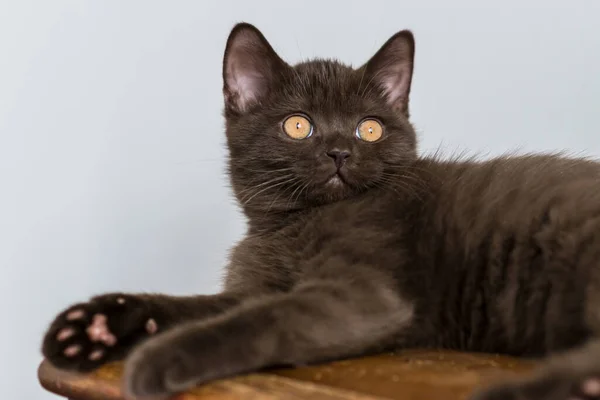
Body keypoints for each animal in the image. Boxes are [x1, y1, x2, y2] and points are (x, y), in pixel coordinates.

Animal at [41, 22, 600, 400]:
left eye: (369, 128)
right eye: (298, 125)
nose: (339, 152)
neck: (286, 227)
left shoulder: (365, 295)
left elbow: (266, 318)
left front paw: (163, 356)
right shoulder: (254, 284)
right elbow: (197, 305)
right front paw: (97, 325)